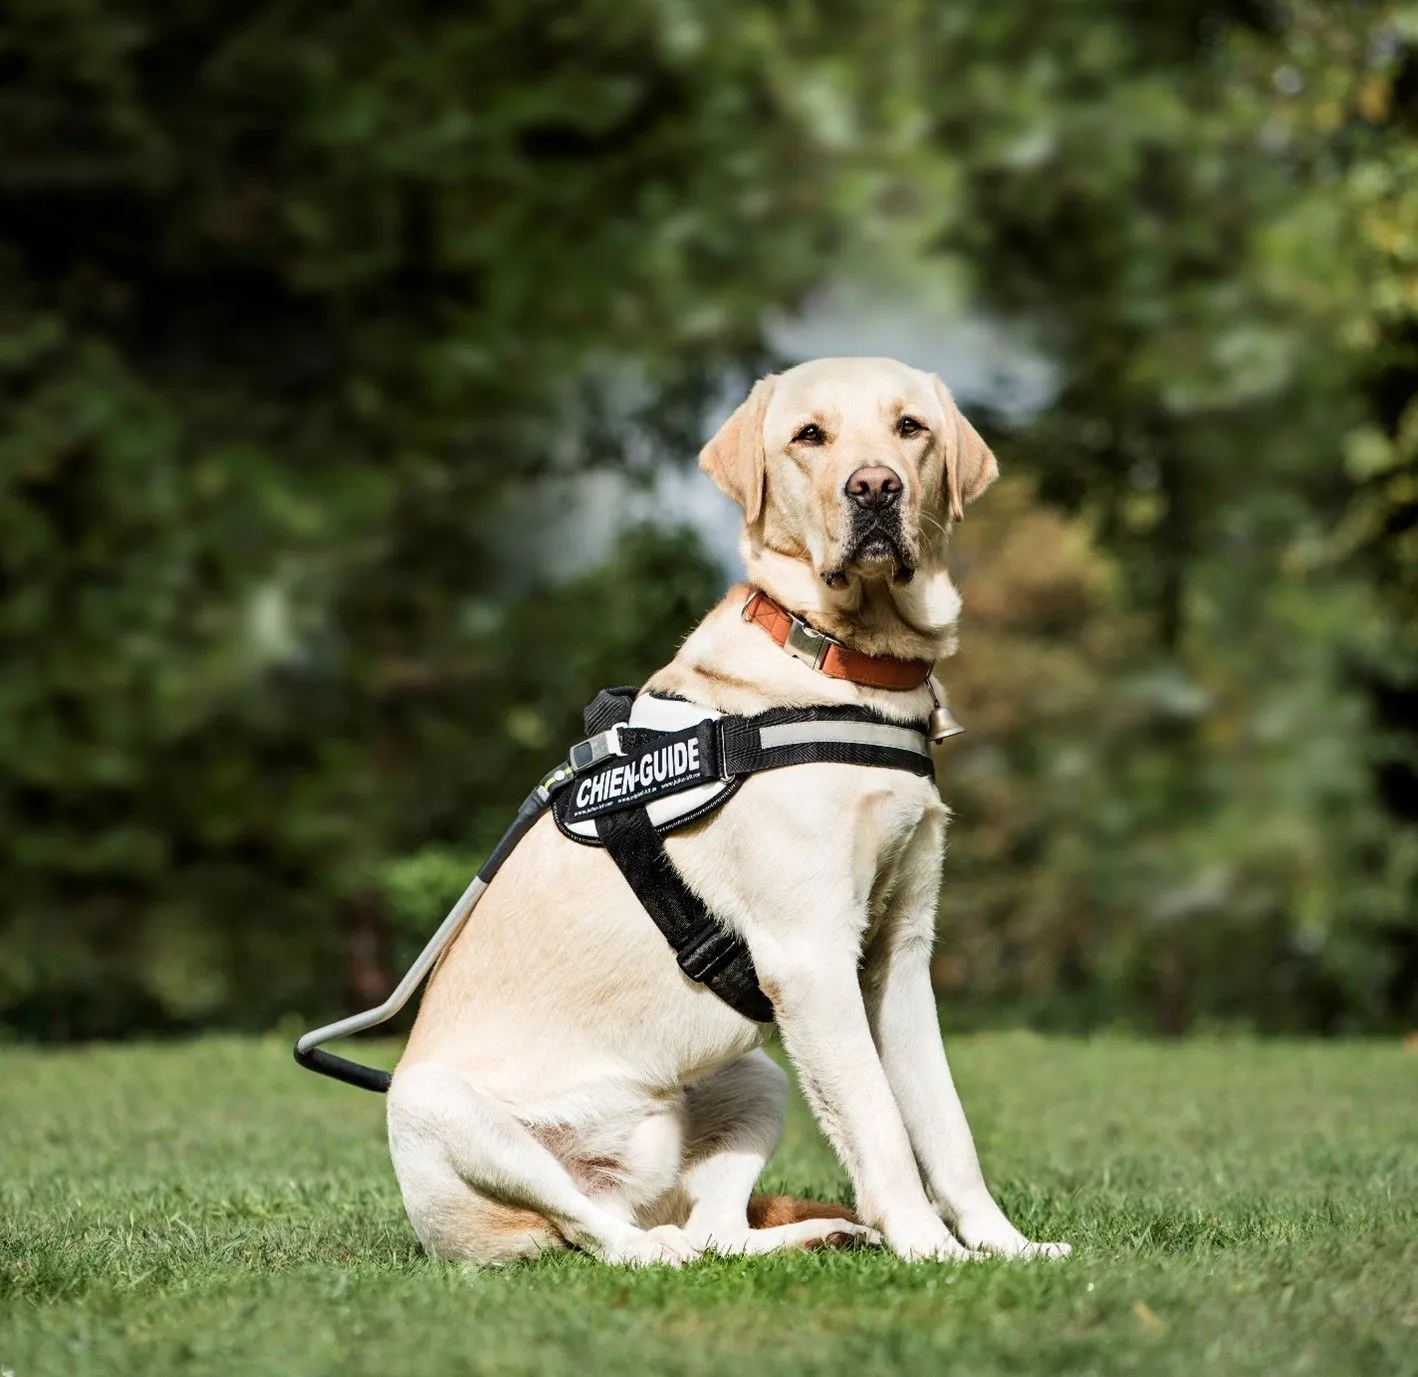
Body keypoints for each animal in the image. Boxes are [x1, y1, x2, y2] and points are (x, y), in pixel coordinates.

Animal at [382, 357, 1066, 1270]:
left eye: (910, 427)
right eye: (810, 435)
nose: (874, 486)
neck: (850, 665)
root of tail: (624, 1184)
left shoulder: (900, 956)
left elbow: (945, 1126)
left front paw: (1005, 1246)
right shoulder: (810, 957)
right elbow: (882, 1125)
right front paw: (930, 1250)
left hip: (751, 1075)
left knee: (717, 1232)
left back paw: (818, 1231)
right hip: (431, 1103)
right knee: (598, 1232)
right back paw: (656, 1248)